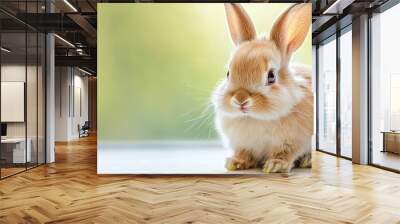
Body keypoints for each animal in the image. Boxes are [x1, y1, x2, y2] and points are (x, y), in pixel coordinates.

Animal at [211, 3, 314, 173]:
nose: (240, 99)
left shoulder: (291, 142)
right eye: (228, 73)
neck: (255, 118)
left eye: (271, 76)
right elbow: (244, 153)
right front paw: (235, 163)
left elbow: (285, 154)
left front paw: (275, 166)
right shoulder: (244, 145)